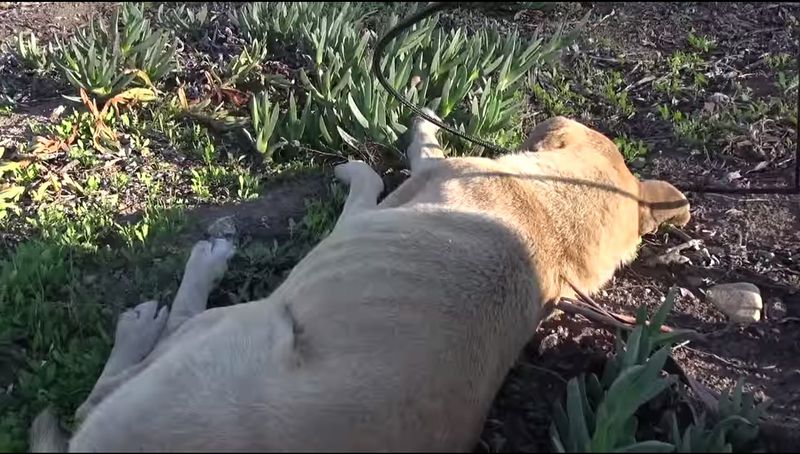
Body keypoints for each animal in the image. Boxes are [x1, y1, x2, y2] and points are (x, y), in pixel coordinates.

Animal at [31, 113, 692, 450]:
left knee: (111, 381)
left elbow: (375, 180)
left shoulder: (377, 209)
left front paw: (401, 138)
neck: (554, 219)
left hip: (243, 326)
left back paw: (161, 307)